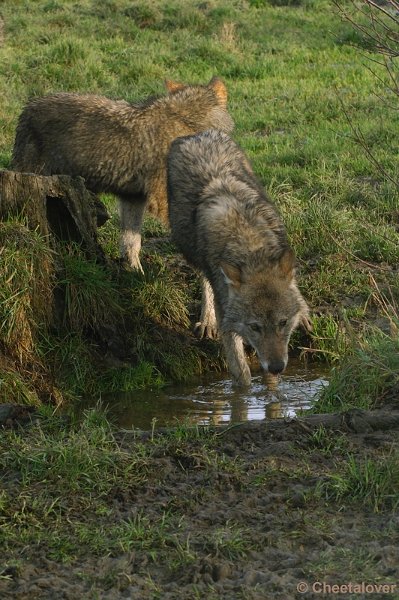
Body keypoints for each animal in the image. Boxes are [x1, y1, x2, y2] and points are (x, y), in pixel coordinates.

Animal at [10, 77, 234, 272]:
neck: (186, 120)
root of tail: (28, 107)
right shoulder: (163, 203)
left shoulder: (133, 198)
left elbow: (131, 243)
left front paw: (135, 273)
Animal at [167, 129, 310, 386]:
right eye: (255, 327)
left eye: (282, 323)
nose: (277, 366)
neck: (248, 241)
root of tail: (197, 134)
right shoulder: (227, 312)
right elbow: (240, 372)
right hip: (194, 255)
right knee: (204, 282)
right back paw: (207, 321)